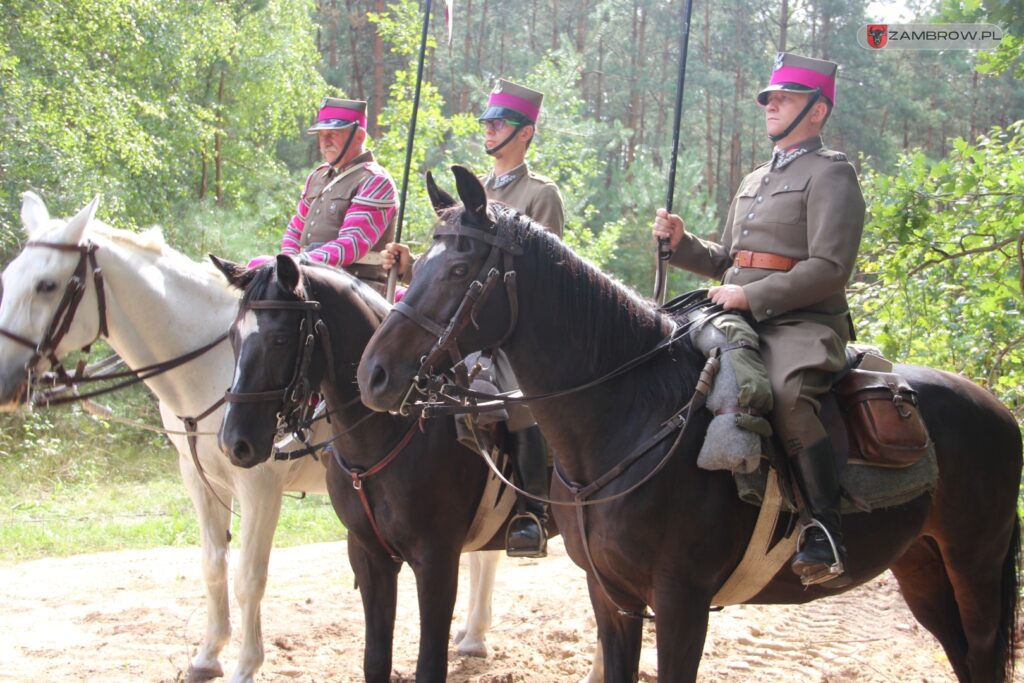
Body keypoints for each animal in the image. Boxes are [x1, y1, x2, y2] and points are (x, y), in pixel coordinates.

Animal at [0, 193, 499, 683]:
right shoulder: (198, 478)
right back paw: (469, 631)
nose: (6, 380)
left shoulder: (258, 484)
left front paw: (245, 665)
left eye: (46, 285)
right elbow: (213, 565)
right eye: (9, 279)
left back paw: (475, 635)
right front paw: (207, 655)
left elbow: (249, 576)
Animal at [212, 255, 585, 683]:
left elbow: (429, 666)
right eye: (232, 337)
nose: (234, 443)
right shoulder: (369, 557)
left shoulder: (436, 562)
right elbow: (375, 660)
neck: (385, 434)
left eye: (278, 339)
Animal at [356, 166, 1019, 683]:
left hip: (975, 563)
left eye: (459, 269)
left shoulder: (681, 602)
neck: (625, 417)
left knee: (984, 654)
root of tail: (998, 409)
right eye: (419, 263)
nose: (374, 375)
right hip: (922, 565)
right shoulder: (613, 600)